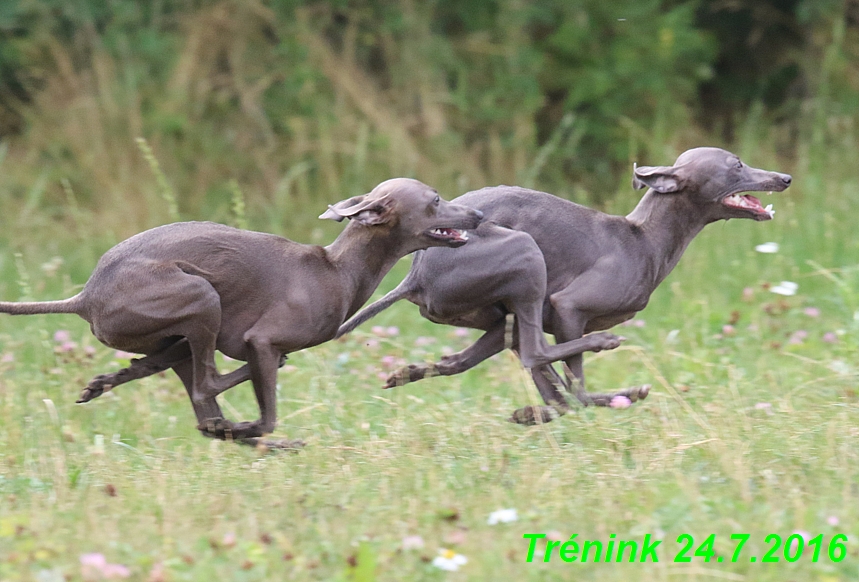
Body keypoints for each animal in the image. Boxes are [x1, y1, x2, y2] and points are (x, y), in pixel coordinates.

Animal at [340, 148, 796, 424]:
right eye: (736, 165)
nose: (786, 177)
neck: (643, 239)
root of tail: (415, 272)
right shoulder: (568, 308)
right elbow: (574, 384)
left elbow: (563, 391)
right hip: (526, 258)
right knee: (540, 360)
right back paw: (609, 365)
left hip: (503, 317)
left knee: (470, 362)